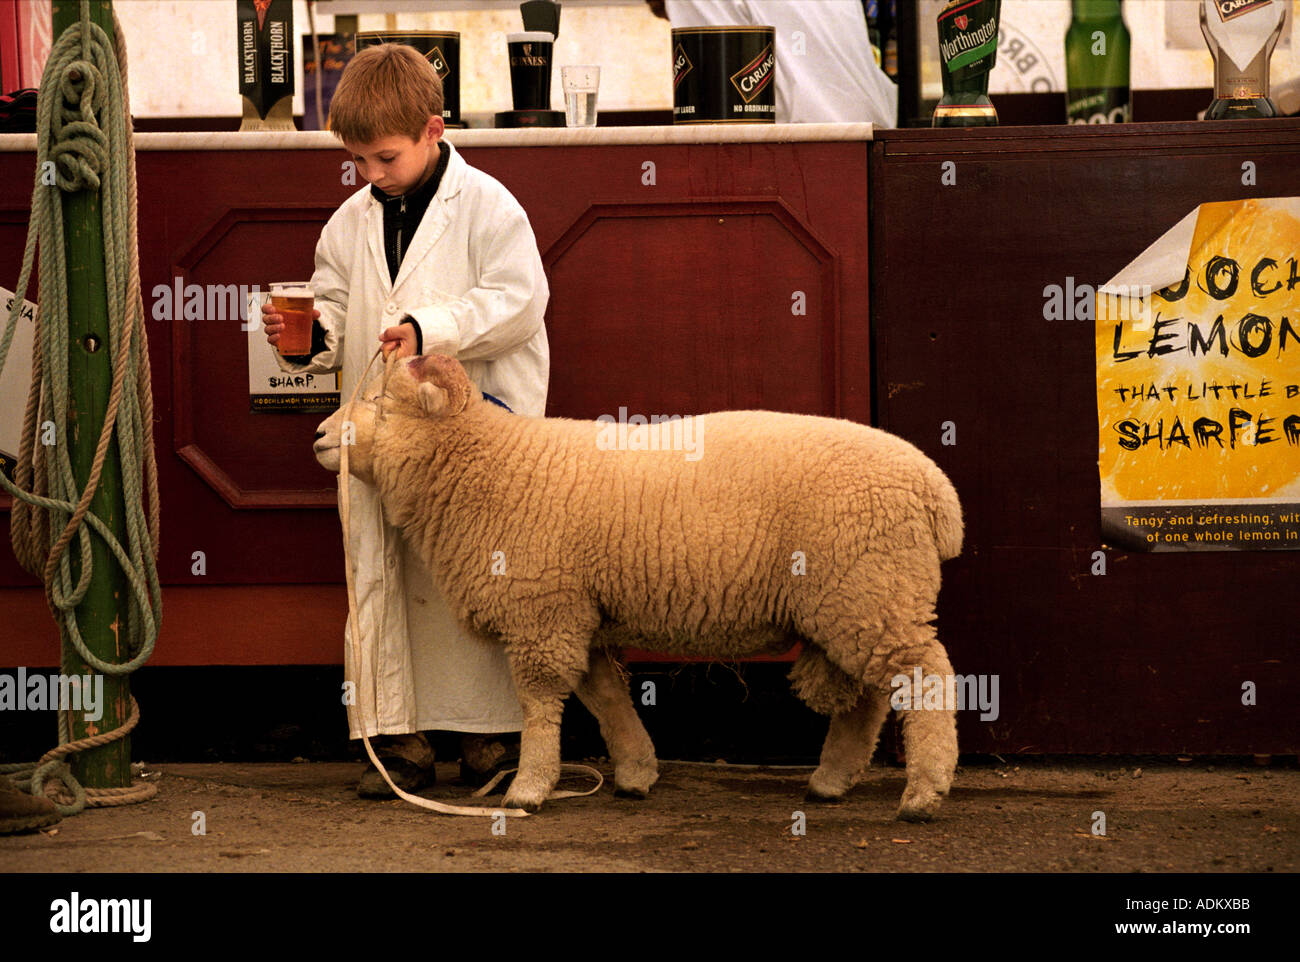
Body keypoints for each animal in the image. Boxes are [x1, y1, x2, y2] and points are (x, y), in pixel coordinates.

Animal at [314, 353, 967, 821]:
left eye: (381, 401)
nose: (320, 435)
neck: (493, 466)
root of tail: (936, 492)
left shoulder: (543, 611)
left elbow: (541, 703)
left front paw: (529, 788)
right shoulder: (581, 611)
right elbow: (605, 697)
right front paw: (635, 772)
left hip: (870, 587)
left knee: (925, 673)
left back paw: (924, 794)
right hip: (860, 598)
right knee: (872, 695)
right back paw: (832, 782)